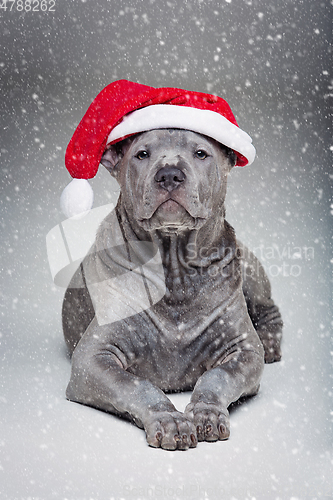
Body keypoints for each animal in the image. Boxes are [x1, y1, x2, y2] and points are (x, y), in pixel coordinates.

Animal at [61, 128, 280, 450]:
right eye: (141, 154)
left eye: (201, 153)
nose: (169, 175)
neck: (175, 270)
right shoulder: (91, 359)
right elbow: (135, 384)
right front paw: (169, 419)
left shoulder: (244, 351)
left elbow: (218, 376)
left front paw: (207, 412)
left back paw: (271, 341)